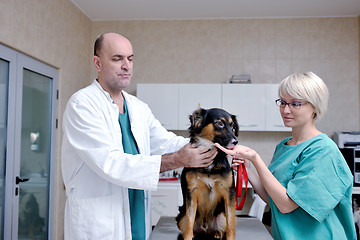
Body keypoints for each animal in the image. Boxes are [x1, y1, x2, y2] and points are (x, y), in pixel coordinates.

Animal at [176, 108, 239, 240]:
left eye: (232, 126)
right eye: (220, 123)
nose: (236, 142)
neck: (210, 164)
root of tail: (205, 228)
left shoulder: (229, 193)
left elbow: (230, 224)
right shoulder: (191, 192)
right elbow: (189, 223)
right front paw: (188, 237)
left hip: (221, 217)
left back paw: (217, 233)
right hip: (181, 216)